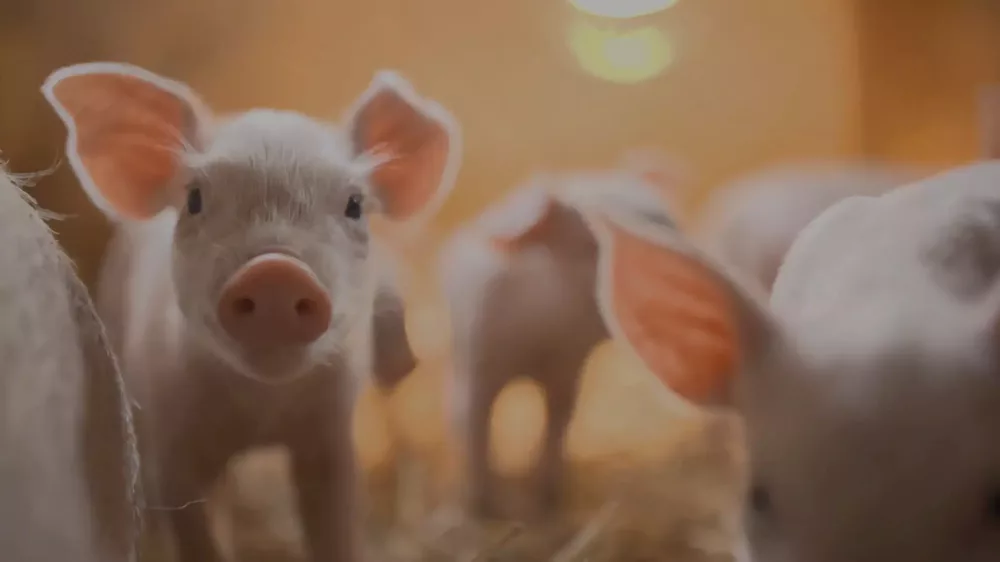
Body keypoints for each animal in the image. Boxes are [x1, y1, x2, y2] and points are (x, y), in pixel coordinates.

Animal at [42, 61, 461, 562]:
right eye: (195, 199)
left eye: (355, 205)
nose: (275, 270)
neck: (261, 413)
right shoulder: (173, 441)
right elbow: (195, 531)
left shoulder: (331, 435)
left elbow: (335, 524)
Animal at [439, 160, 677, 517]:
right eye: (595, 243)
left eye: (671, 229)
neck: (538, 342)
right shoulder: (479, 366)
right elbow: (475, 427)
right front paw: (484, 507)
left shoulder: (568, 369)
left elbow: (558, 423)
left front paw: (548, 500)